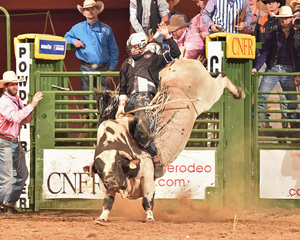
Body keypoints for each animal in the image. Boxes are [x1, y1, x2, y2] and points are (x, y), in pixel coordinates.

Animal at [86, 58, 244, 223]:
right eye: (99, 168)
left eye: (117, 162)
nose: (111, 181)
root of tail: (180, 62)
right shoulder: (105, 186)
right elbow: (108, 202)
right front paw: (101, 218)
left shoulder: (148, 176)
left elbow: (147, 201)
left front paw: (150, 218)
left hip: (209, 93)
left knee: (222, 78)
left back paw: (239, 92)